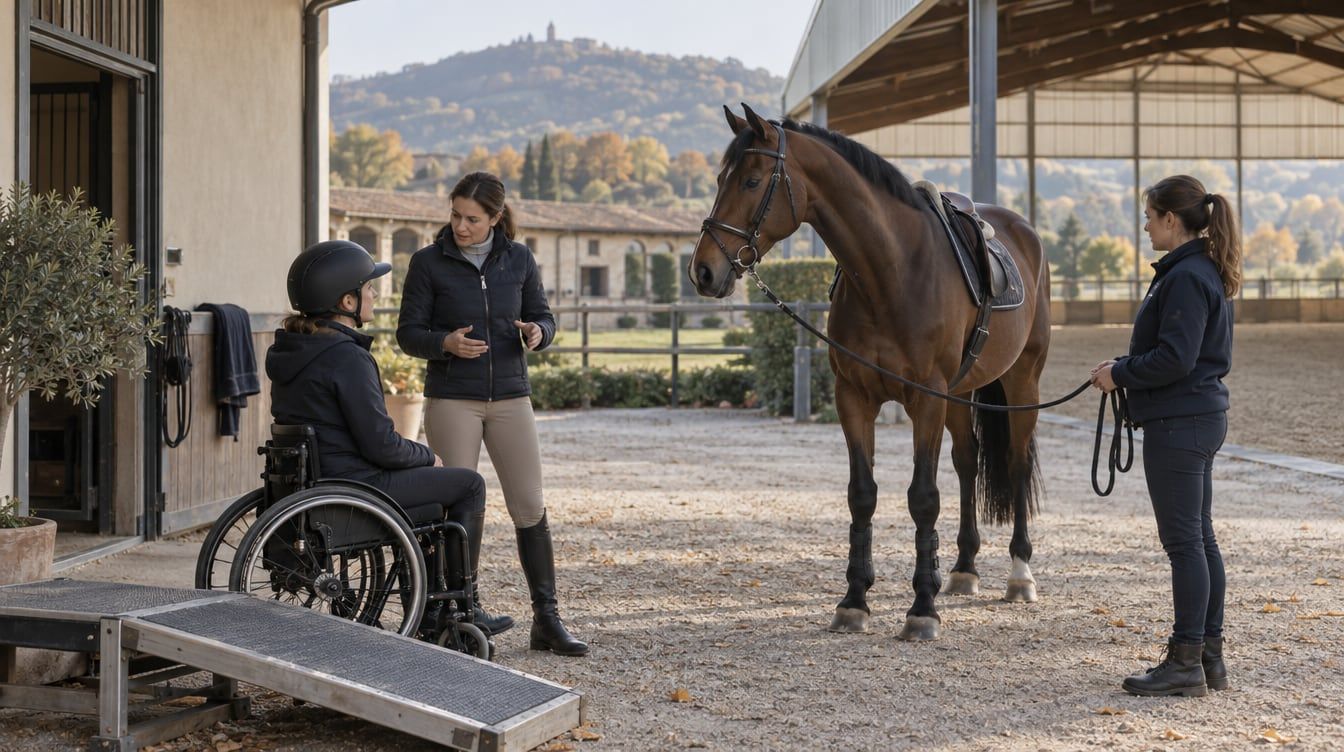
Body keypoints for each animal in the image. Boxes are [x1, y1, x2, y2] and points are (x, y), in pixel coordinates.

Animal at [689, 104, 1051, 641]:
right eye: (719, 179)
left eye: (752, 180)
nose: (704, 271)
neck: (892, 269)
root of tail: (1023, 231)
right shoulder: (854, 397)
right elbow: (862, 495)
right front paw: (855, 600)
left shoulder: (926, 398)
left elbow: (923, 497)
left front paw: (921, 609)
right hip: (962, 394)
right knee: (968, 463)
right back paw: (963, 569)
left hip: (1021, 380)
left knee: (1016, 462)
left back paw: (1019, 574)